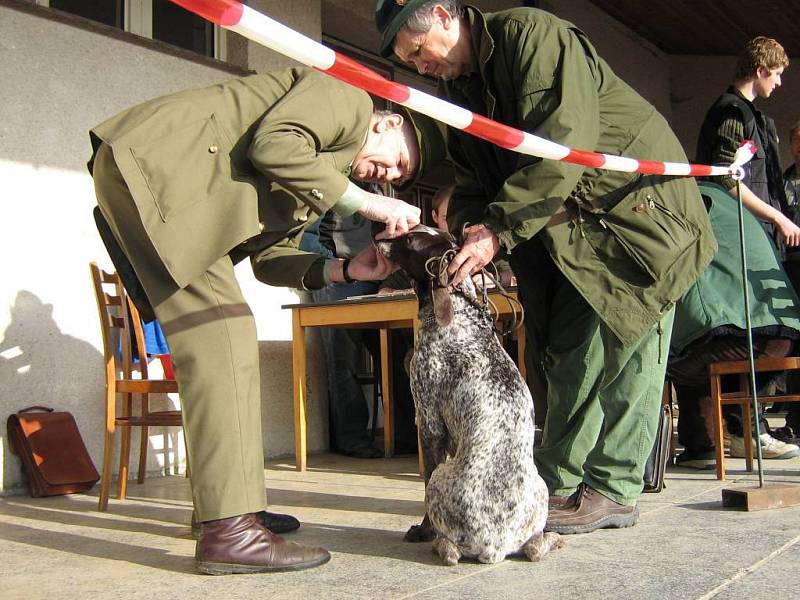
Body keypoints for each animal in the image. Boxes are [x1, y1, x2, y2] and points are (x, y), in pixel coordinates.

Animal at [376, 225, 560, 568]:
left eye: (409, 241)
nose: (378, 237)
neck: (460, 315)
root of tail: (494, 546)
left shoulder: (430, 423)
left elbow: (425, 482)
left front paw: (422, 531)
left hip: (441, 478)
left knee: (450, 550)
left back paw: (439, 543)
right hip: (541, 491)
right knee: (533, 548)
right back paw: (552, 538)